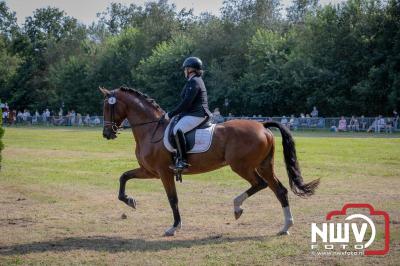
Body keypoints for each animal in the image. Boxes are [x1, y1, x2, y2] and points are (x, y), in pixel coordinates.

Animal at [100, 86, 318, 236]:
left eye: (107, 107)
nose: (106, 134)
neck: (151, 129)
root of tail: (262, 126)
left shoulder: (164, 173)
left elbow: (173, 199)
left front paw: (174, 227)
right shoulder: (149, 172)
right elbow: (123, 177)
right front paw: (129, 200)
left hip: (242, 166)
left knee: (260, 184)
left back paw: (238, 207)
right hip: (264, 165)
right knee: (279, 190)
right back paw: (285, 226)